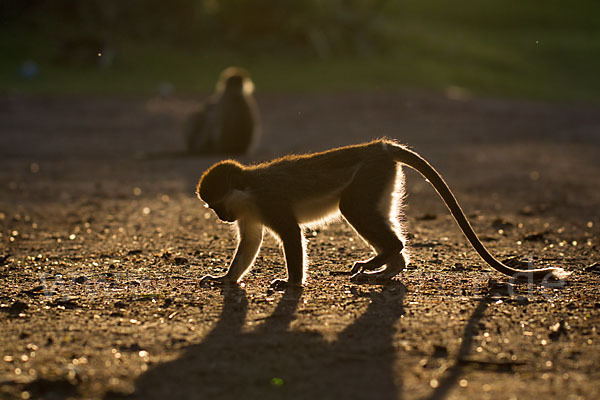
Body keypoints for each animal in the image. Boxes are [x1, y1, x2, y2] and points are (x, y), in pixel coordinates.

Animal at [195, 138, 568, 288]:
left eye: (217, 207)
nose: (222, 218)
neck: (248, 190)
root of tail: (381, 147)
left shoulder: (270, 201)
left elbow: (289, 233)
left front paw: (292, 283)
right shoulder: (249, 213)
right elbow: (250, 242)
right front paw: (225, 279)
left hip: (370, 174)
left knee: (352, 207)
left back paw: (384, 259)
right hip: (382, 179)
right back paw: (389, 268)